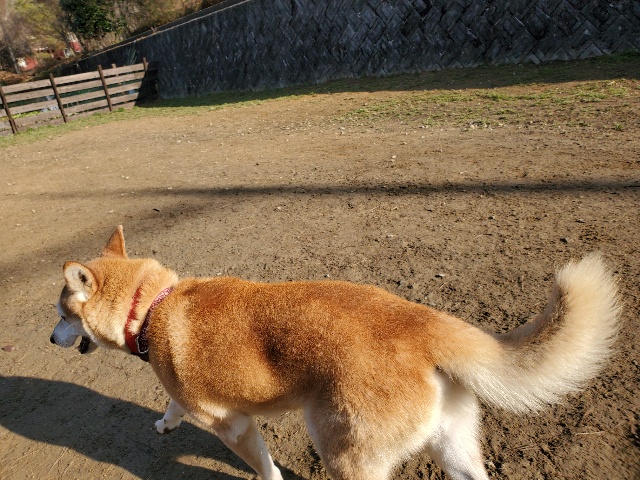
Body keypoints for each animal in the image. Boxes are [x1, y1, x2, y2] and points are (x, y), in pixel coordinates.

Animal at [51, 226, 620, 480]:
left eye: (60, 312)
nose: (51, 340)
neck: (151, 307)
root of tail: (420, 324)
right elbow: (171, 407)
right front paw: (164, 424)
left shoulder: (233, 425)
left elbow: (267, 470)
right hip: (454, 445)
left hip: (345, 453)